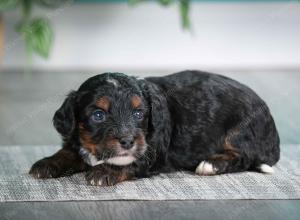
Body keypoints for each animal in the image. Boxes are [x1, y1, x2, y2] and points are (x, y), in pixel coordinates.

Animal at [29, 70, 280, 186]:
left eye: (139, 113)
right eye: (98, 115)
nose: (127, 141)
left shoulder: (151, 151)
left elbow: (129, 162)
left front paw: (103, 172)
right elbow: (68, 151)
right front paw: (46, 163)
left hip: (241, 131)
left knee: (244, 157)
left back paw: (211, 164)